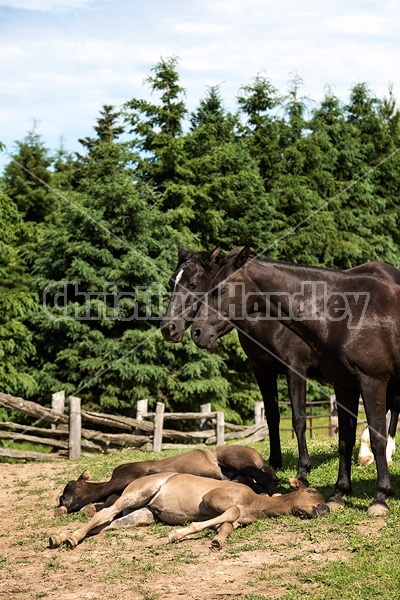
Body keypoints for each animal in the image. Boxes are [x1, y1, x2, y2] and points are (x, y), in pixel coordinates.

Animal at [50, 472, 328, 552]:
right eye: (312, 490)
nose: (324, 509)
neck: (254, 501)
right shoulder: (214, 498)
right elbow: (231, 513)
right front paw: (178, 534)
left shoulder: (232, 518)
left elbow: (227, 525)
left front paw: (217, 541)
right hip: (137, 494)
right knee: (103, 513)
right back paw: (68, 538)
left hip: (143, 514)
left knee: (106, 524)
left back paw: (61, 536)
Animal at [190, 244, 400, 516]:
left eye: (219, 289)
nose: (197, 332)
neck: (348, 315)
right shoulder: (344, 386)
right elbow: (344, 440)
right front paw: (339, 493)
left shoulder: (371, 382)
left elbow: (377, 438)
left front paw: (380, 497)